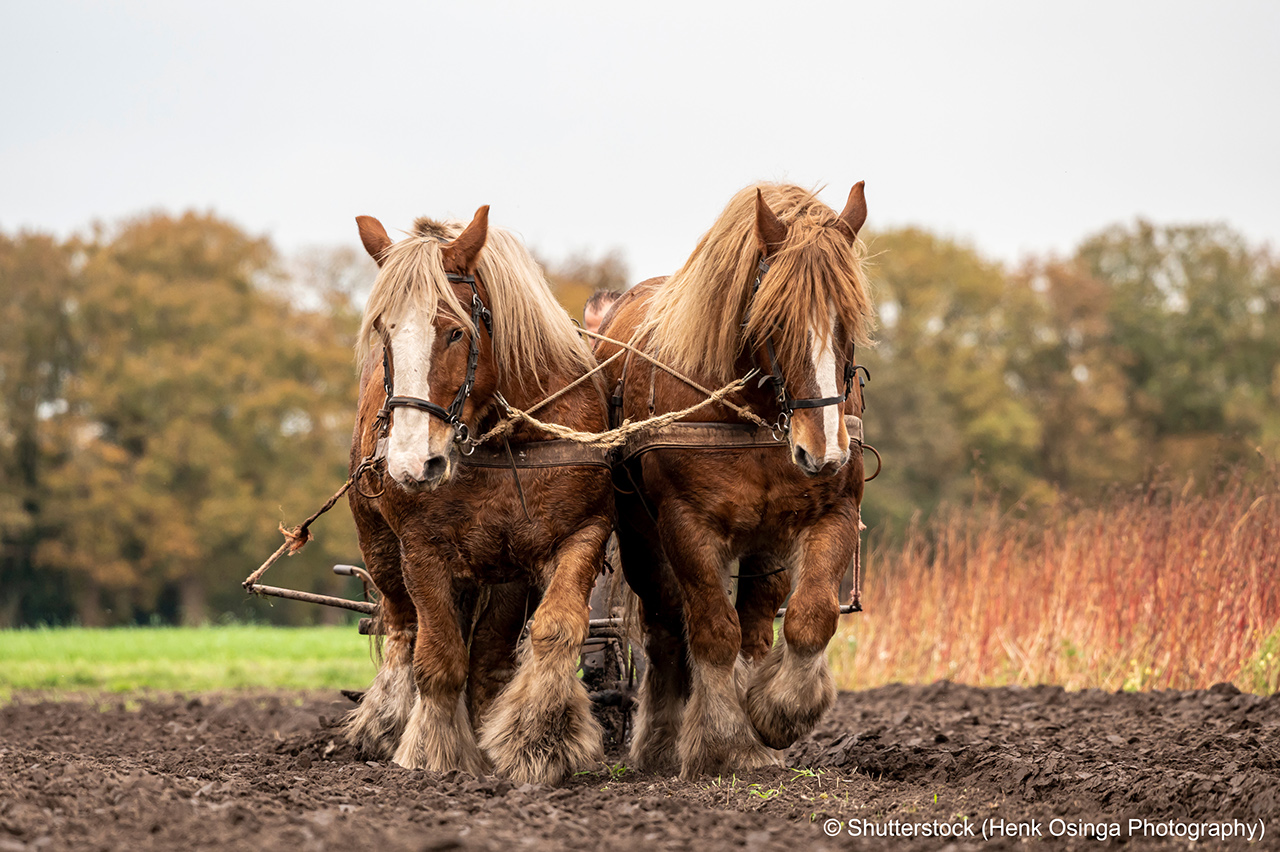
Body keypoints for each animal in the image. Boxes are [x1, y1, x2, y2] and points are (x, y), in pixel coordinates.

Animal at [345, 205, 614, 782]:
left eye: (453, 332)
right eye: (383, 330)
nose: (409, 463)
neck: (504, 439)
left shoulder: (583, 531)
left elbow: (556, 628)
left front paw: (539, 739)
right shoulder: (421, 551)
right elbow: (438, 658)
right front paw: (434, 751)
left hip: (503, 571)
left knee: (489, 656)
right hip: (380, 546)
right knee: (401, 626)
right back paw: (385, 721)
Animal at [593, 180, 875, 777]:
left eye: (850, 317)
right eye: (775, 318)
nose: (824, 452)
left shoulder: (829, 511)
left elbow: (808, 616)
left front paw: (777, 715)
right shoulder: (687, 522)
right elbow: (711, 630)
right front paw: (723, 738)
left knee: (752, 620)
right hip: (641, 534)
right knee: (666, 626)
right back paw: (662, 738)